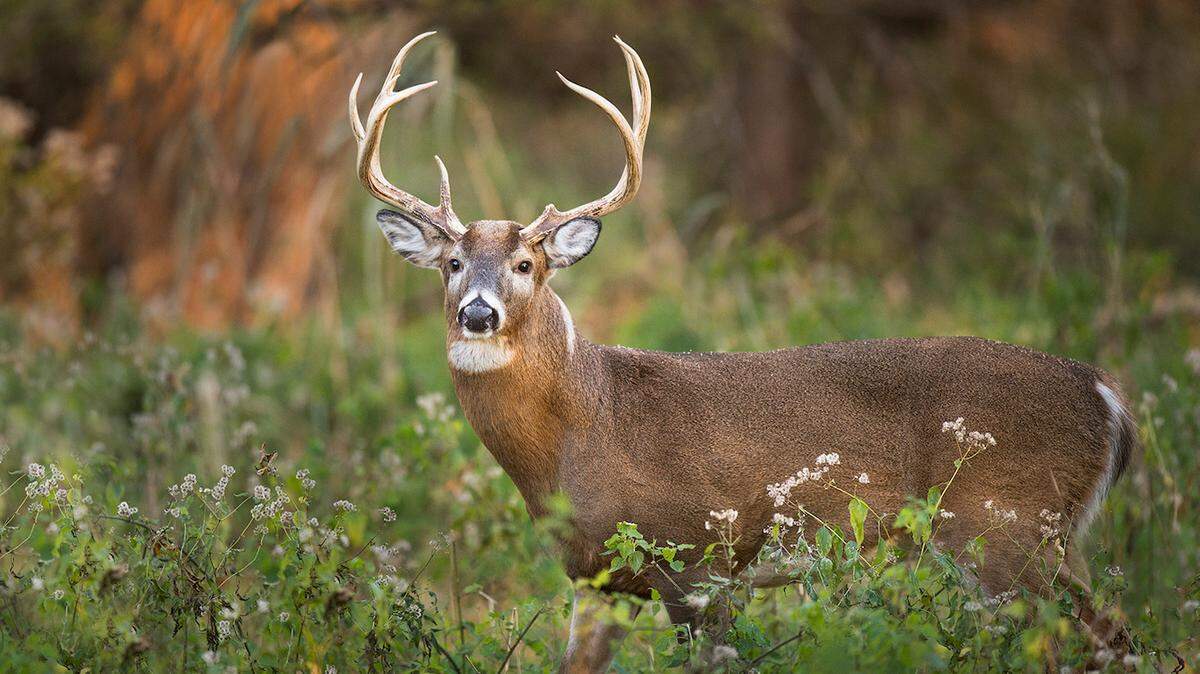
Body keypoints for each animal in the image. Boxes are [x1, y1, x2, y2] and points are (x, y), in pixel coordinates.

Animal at [349, 32, 1137, 672]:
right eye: (452, 263)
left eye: (526, 265)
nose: (478, 313)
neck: (584, 428)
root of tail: (1106, 395)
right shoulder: (596, 578)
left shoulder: (700, 558)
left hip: (1008, 526)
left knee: (1102, 637)